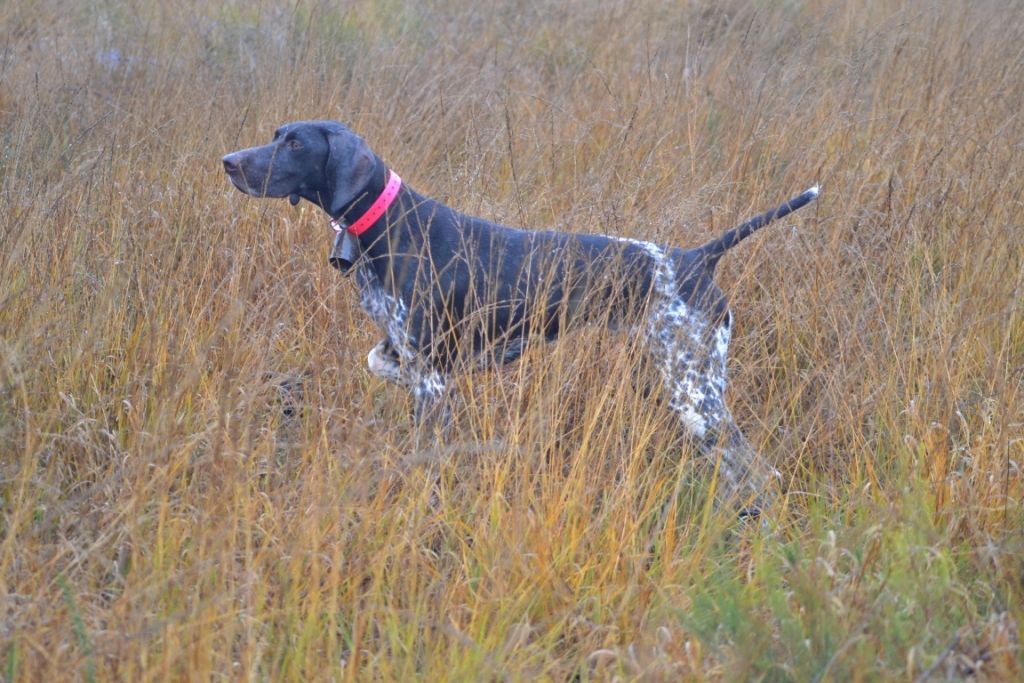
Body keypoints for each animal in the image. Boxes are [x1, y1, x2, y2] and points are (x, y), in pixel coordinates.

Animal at [223, 120, 818, 513]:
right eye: (276, 134)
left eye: (294, 143)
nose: (229, 161)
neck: (391, 224)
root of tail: (695, 257)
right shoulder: (418, 360)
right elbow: (381, 361)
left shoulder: (432, 380)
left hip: (696, 396)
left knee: (759, 472)